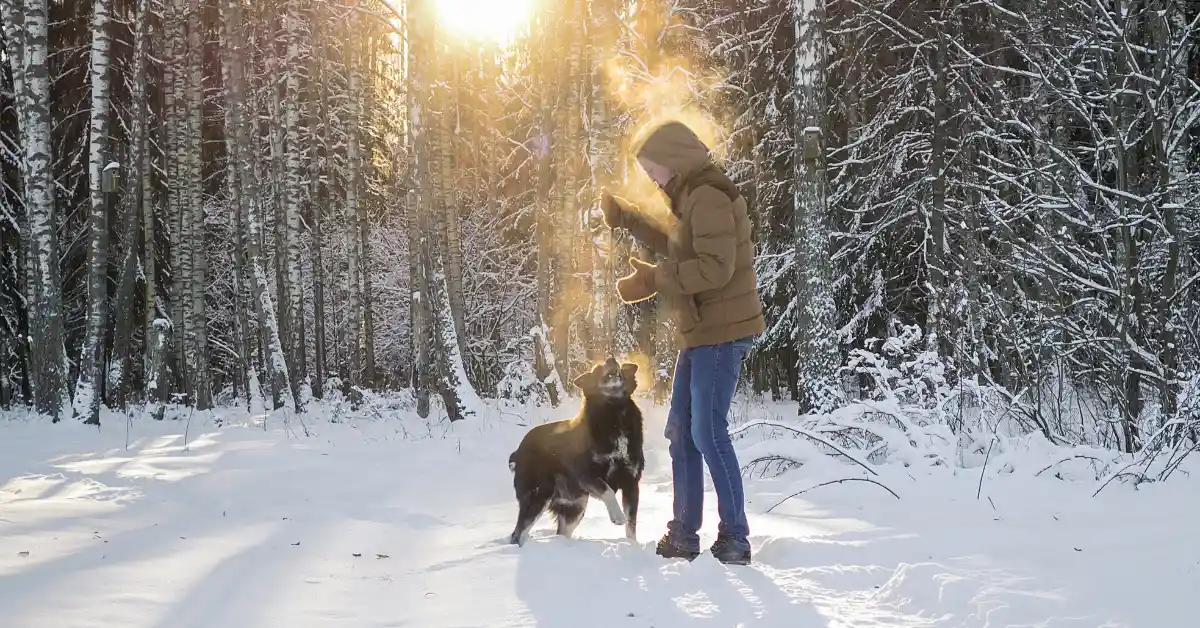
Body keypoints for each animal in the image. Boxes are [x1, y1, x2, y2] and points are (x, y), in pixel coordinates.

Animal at [506, 357, 648, 545]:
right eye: (597, 368)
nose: (612, 359)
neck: (614, 412)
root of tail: (519, 449)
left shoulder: (631, 482)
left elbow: (631, 524)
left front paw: (632, 546)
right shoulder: (586, 475)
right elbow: (608, 491)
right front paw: (617, 516)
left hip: (574, 506)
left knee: (560, 531)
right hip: (539, 495)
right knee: (519, 533)